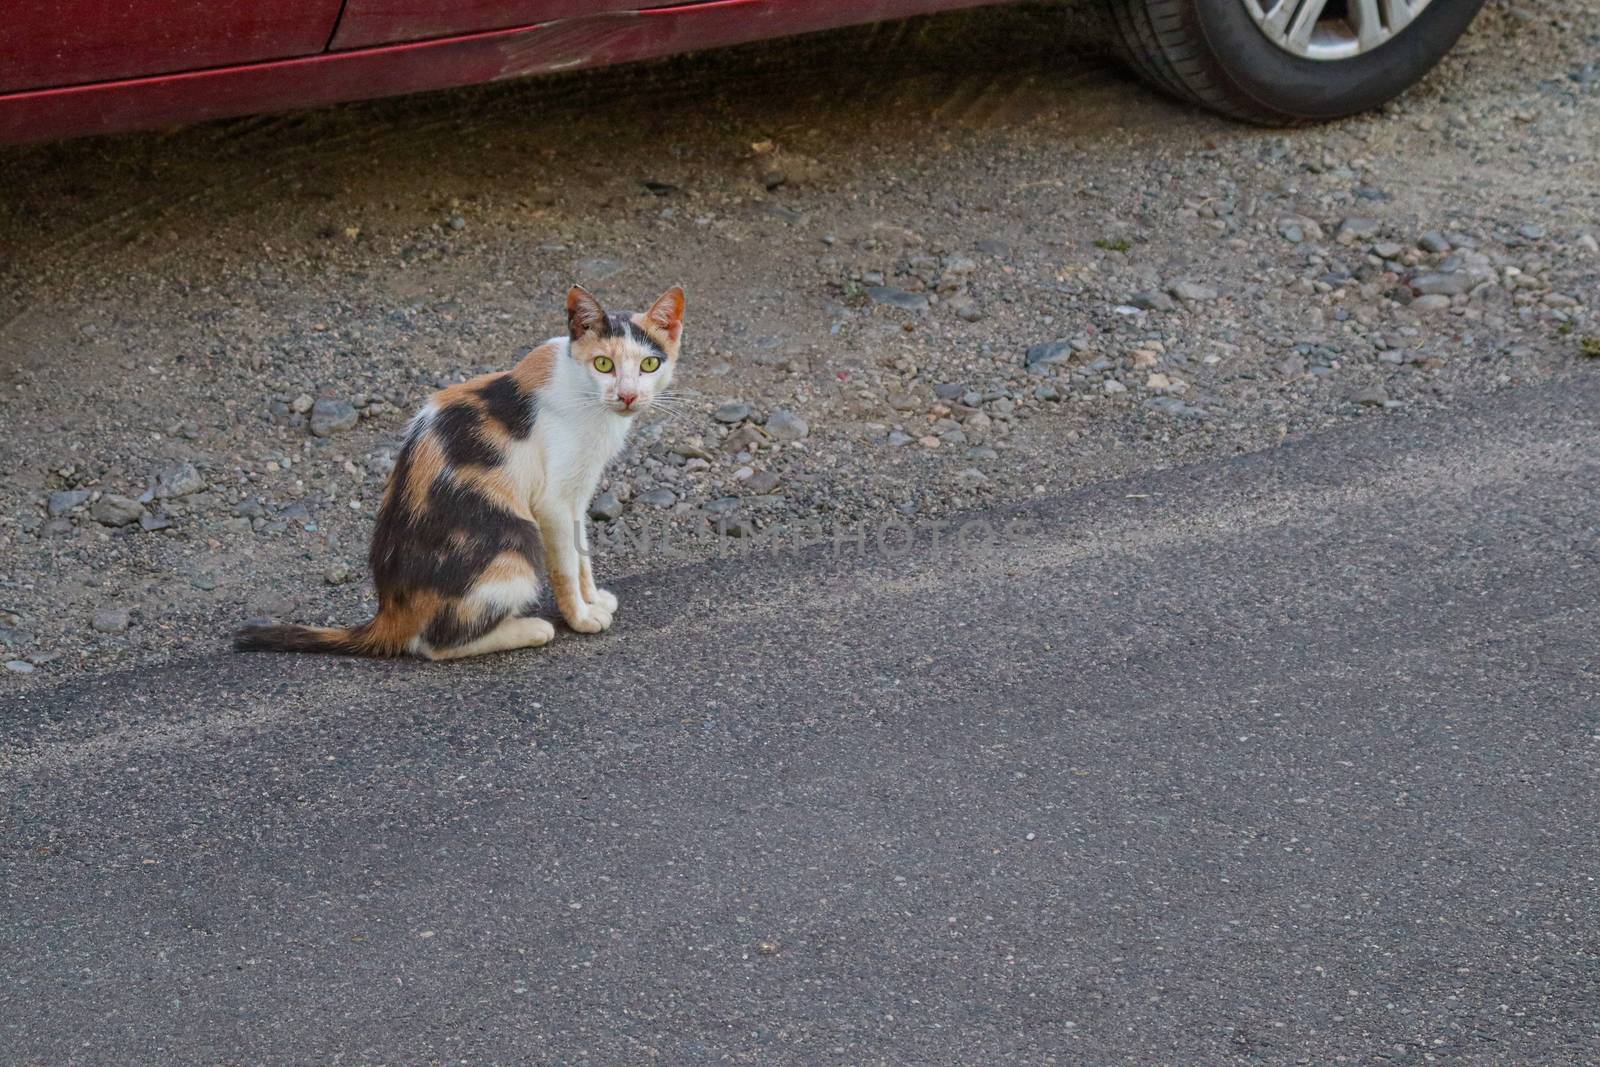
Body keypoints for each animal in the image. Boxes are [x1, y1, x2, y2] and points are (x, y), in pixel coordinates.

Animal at [233, 283, 684, 659]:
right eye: (604, 364)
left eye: (648, 365)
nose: (627, 395)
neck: (586, 397)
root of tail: (389, 613)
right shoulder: (553, 502)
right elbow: (566, 566)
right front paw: (580, 617)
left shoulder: (579, 494)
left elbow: (583, 553)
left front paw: (592, 600)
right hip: (517, 540)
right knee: (434, 644)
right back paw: (530, 628)